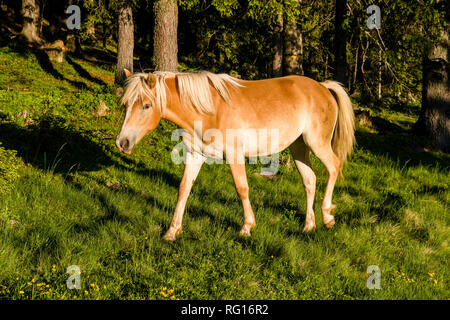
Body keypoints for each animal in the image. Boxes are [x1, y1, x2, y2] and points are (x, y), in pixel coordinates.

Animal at [116, 69, 356, 240]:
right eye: (126, 104)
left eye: (147, 105)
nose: (122, 142)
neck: (209, 111)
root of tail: (323, 87)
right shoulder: (195, 155)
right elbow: (183, 189)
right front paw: (172, 231)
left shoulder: (234, 156)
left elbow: (242, 189)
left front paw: (247, 227)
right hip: (299, 147)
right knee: (310, 180)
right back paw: (309, 225)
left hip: (317, 143)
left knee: (334, 167)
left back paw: (327, 216)